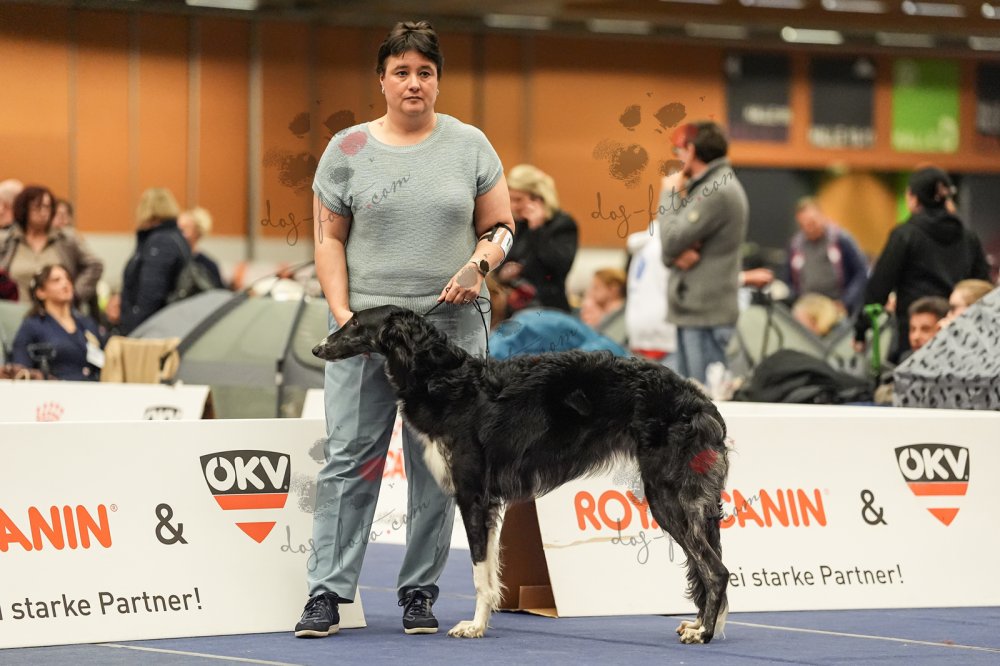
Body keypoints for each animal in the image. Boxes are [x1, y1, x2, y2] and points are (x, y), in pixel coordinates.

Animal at [313, 305, 730, 644]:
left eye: (355, 323)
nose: (318, 348)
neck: (445, 381)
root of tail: (701, 400)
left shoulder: (474, 496)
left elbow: (479, 572)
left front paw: (474, 627)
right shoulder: (489, 502)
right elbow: (491, 570)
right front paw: (483, 621)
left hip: (667, 496)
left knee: (716, 571)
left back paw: (704, 633)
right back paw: (701, 624)